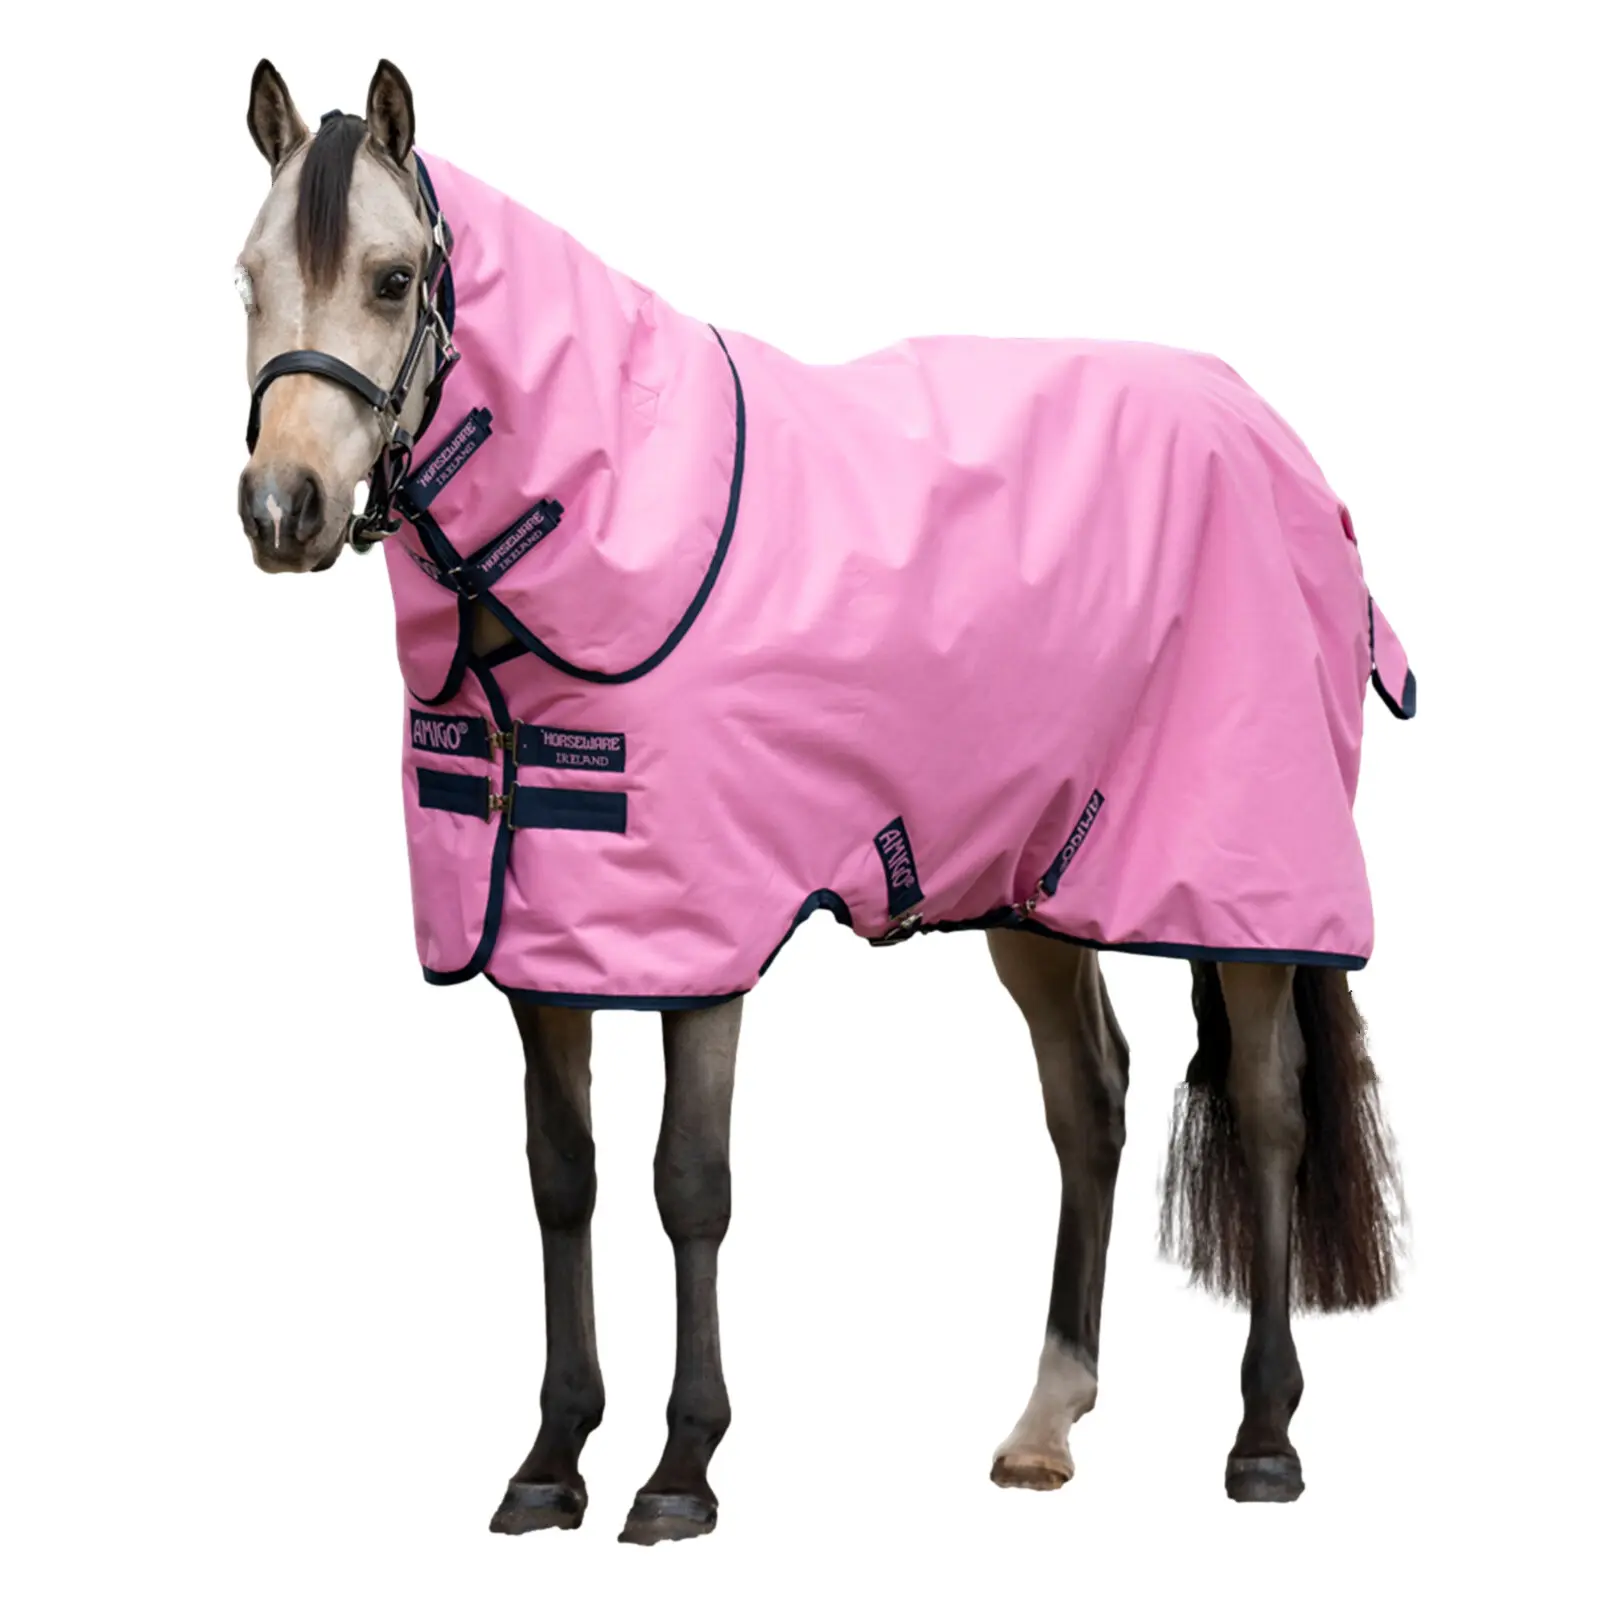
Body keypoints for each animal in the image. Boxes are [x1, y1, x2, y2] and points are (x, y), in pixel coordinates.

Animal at [234, 57, 1409, 1543]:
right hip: (1033, 883)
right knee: (1090, 1102)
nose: (281, 508)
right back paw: (1047, 1419)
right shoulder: (545, 940)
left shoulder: (702, 933)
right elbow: (562, 1176)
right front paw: (552, 1457)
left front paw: (681, 1469)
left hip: (1247, 883)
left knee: (1266, 1110)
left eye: (392, 280)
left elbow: (689, 1183)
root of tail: (1278, 440)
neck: (604, 531)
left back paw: (1262, 1437)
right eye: (246, 277)